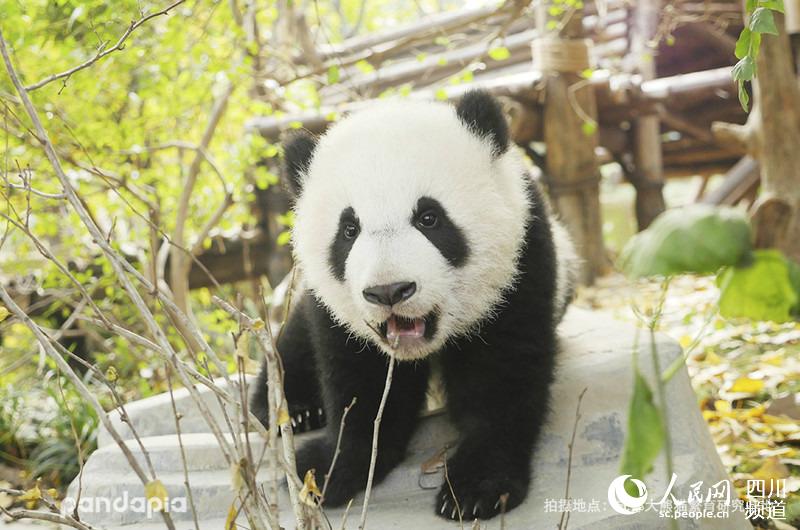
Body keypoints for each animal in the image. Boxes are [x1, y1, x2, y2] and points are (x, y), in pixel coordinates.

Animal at [252, 90, 578, 521]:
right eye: (349, 230)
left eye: (429, 218)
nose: (389, 291)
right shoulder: (343, 320)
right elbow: (361, 381)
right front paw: (329, 470)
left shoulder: (521, 266)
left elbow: (501, 374)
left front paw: (476, 488)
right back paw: (288, 406)